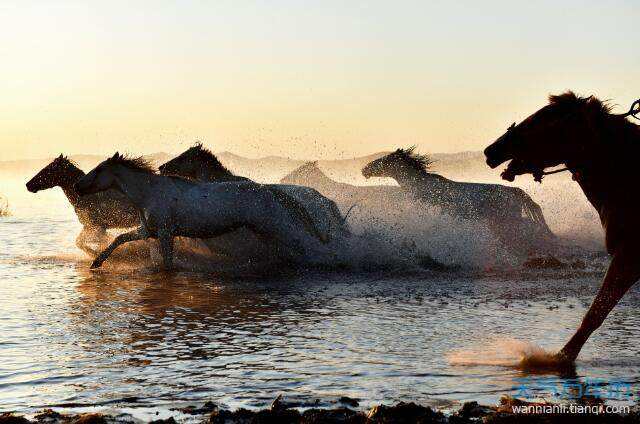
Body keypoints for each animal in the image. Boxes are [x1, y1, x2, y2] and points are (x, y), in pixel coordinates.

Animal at [76, 154, 330, 270]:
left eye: (99, 170)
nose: (78, 186)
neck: (149, 193)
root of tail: (266, 189)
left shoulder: (166, 233)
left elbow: (168, 263)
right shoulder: (148, 231)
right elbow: (119, 238)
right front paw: (96, 262)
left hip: (273, 225)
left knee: (301, 244)